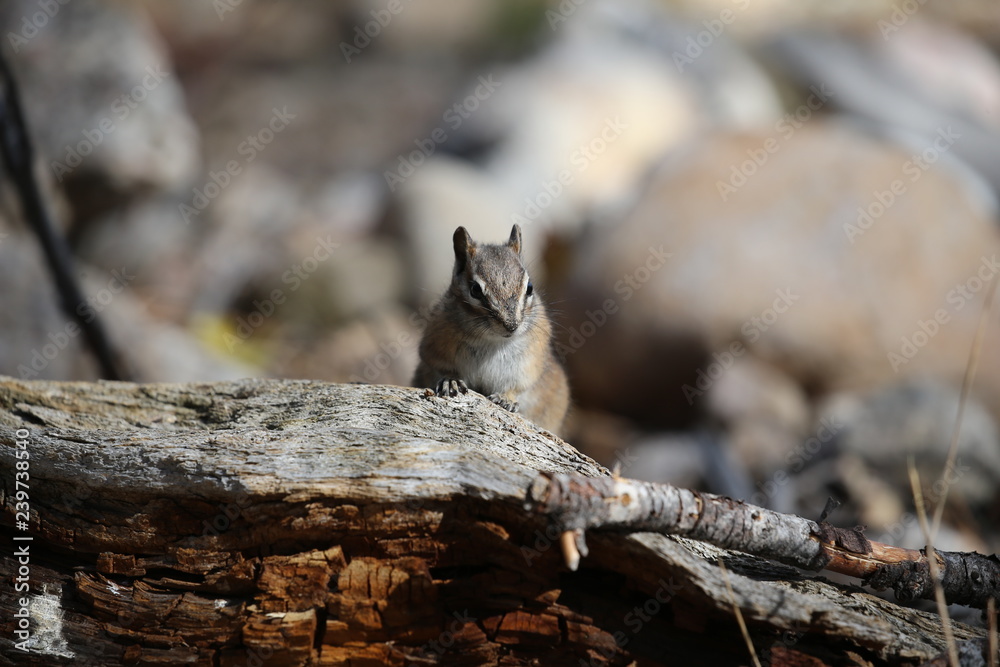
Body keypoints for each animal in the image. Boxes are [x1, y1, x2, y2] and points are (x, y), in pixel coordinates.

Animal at [413, 224, 570, 435]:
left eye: (529, 287)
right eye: (475, 290)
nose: (511, 325)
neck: (494, 340)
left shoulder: (529, 362)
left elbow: (519, 385)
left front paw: (506, 398)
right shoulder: (433, 347)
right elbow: (440, 366)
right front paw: (450, 380)